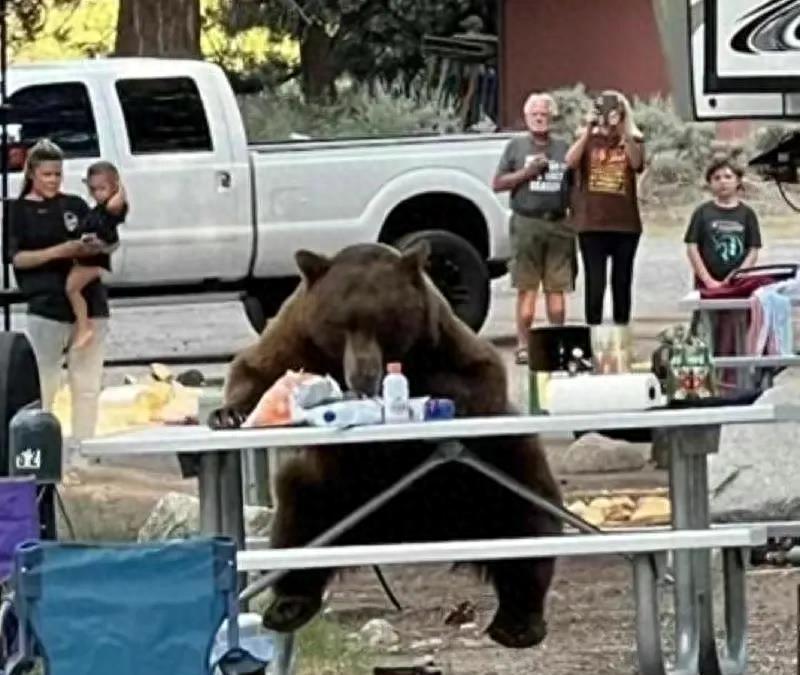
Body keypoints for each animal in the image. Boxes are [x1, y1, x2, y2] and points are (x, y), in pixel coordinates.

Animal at [211, 243, 564, 648]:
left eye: (385, 323)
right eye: (339, 324)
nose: (362, 374)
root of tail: (399, 528)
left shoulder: (443, 339)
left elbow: (480, 374)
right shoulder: (298, 337)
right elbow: (256, 369)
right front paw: (228, 413)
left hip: (490, 475)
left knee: (526, 516)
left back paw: (518, 622)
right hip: (332, 490)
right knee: (297, 515)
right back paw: (289, 604)